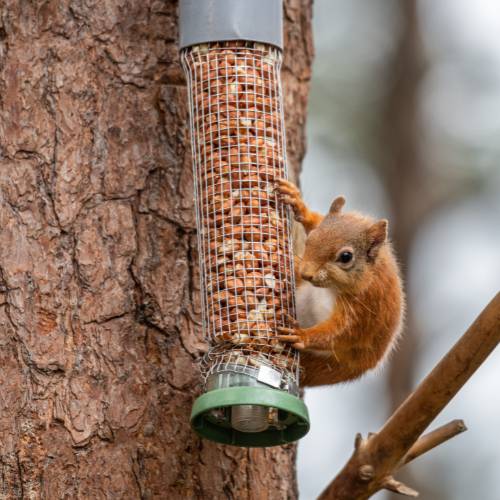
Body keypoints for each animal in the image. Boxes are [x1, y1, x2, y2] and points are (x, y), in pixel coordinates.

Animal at [272, 180, 404, 386]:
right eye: (310, 239)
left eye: (346, 257)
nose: (306, 274)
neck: (332, 288)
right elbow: (315, 220)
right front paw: (297, 202)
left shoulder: (365, 308)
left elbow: (339, 332)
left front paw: (302, 335)